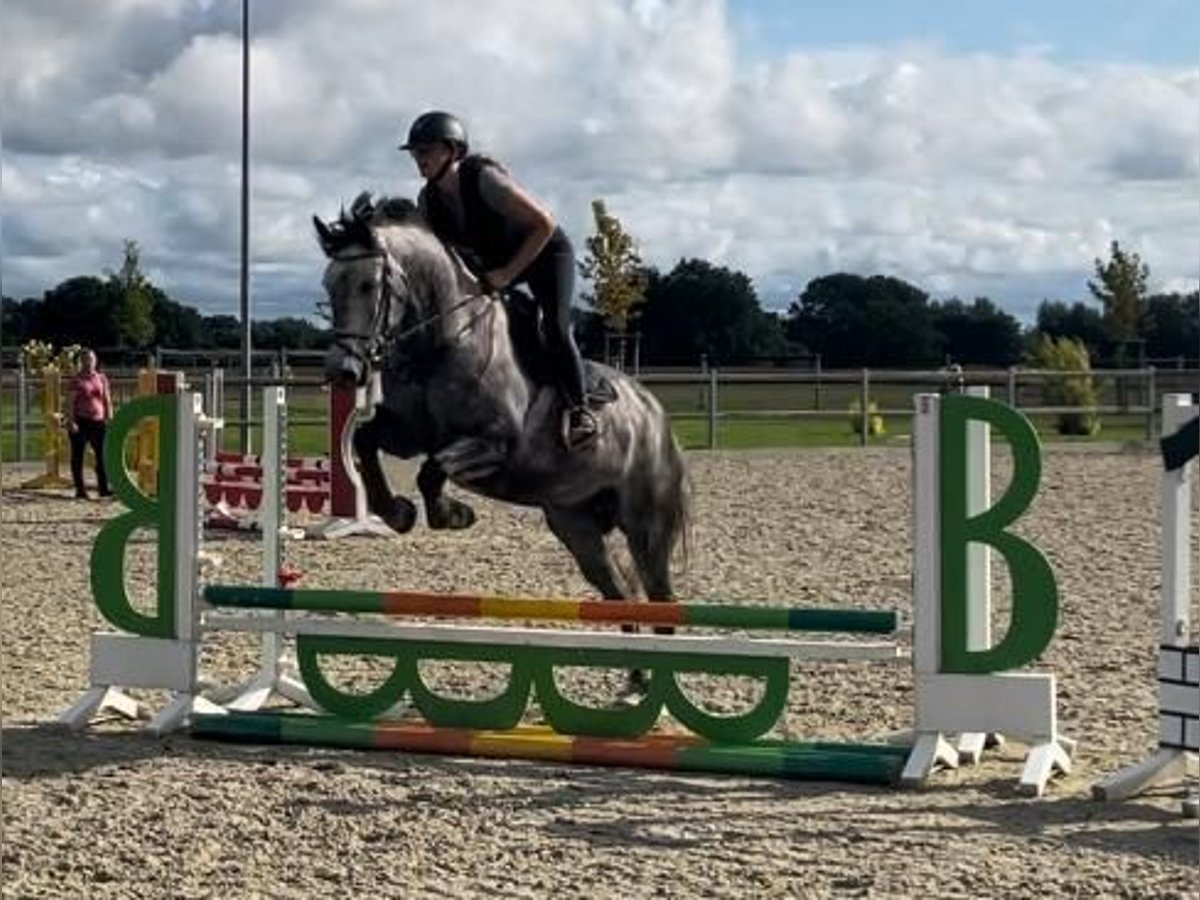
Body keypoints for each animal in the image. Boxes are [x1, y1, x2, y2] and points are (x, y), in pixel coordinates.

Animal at [314, 195, 691, 619]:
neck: (443, 343)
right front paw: (399, 513)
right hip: (574, 522)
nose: (342, 370)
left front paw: (453, 514)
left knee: (660, 595)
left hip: (646, 525)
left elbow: (434, 469)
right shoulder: (408, 434)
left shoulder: (494, 443)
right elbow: (365, 440)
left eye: (368, 285)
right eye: (329, 285)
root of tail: (656, 415)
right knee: (621, 593)